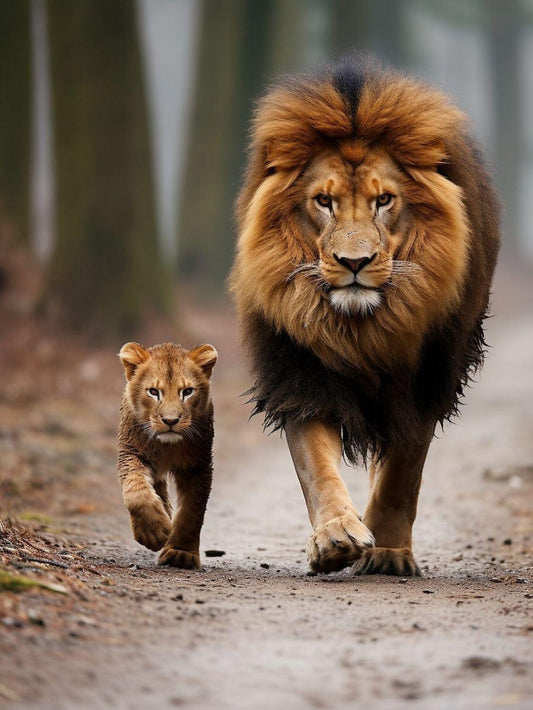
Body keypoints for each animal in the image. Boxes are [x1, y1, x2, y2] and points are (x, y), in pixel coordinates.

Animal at [118, 341, 217, 569]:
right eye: (154, 392)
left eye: (187, 391)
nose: (170, 421)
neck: (167, 447)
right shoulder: (131, 452)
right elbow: (136, 492)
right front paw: (153, 532)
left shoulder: (198, 464)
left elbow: (192, 511)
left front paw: (181, 554)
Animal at [230, 58, 500, 576]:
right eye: (324, 201)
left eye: (384, 200)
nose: (354, 262)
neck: (361, 329)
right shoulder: (301, 376)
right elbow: (316, 465)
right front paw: (337, 536)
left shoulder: (424, 383)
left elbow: (402, 472)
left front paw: (388, 552)